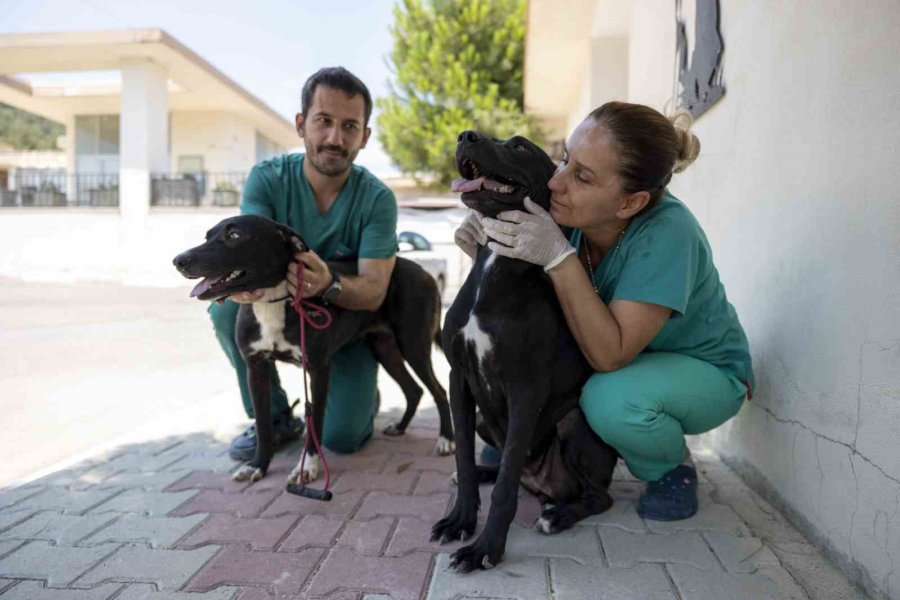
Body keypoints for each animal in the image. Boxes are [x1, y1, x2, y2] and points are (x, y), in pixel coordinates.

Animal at [175, 216, 454, 482]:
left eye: (234, 235)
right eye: (207, 236)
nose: (178, 261)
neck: (273, 302)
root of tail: (427, 272)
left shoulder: (319, 369)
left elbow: (315, 421)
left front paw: (307, 467)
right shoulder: (256, 368)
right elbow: (264, 425)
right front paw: (257, 466)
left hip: (413, 345)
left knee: (439, 391)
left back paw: (446, 440)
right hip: (385, 349)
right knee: (415, 390)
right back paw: (400, 427)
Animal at [430, 131, 620, 572]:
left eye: (519, 147)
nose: (465, 135)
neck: (494, 266)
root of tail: (541, 483)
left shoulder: (524, 390)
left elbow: (504, 491)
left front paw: (485, 549)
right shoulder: (459, 379)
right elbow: (463, 458)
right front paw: (461, 518)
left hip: (573, 423)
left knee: (598, 496)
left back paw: (558, 515)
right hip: (486, 419)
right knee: (502, 465)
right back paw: (488, 472)